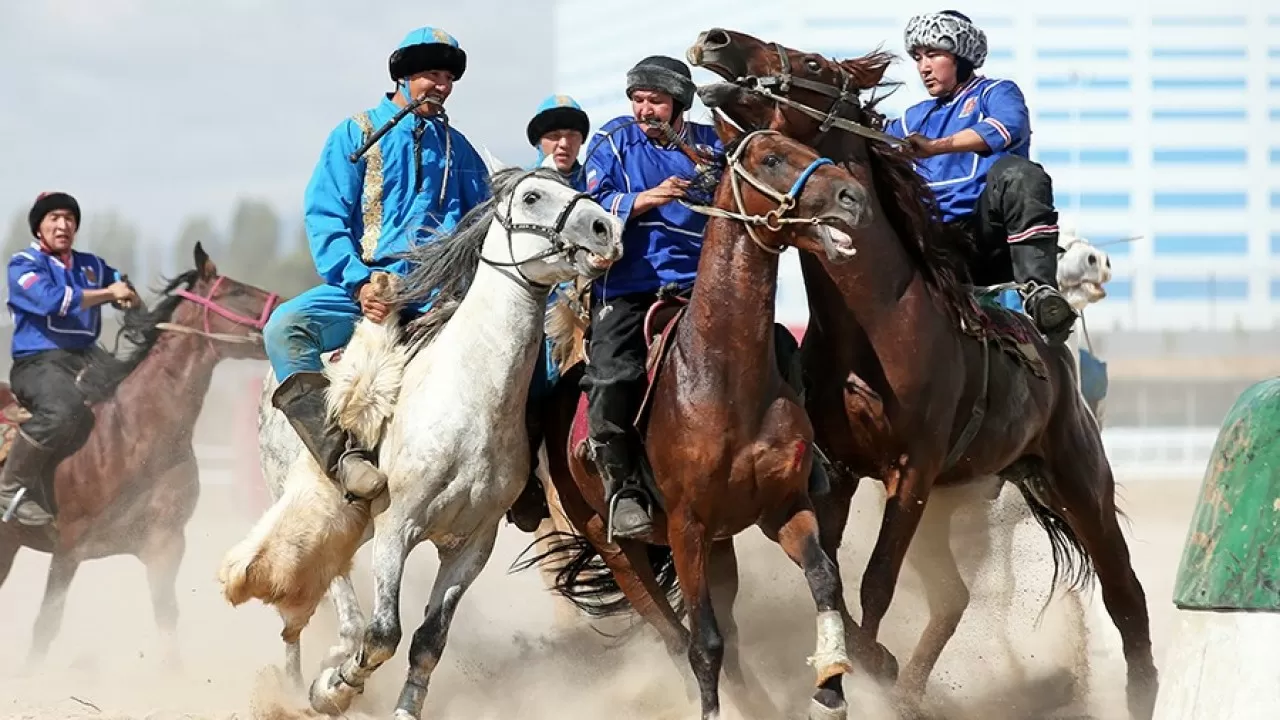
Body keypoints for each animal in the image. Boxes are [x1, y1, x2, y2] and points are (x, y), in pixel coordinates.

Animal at [0, 242, 279, 666]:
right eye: (235, 291)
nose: (287, 308)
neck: (131, 434)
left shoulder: (165, 545)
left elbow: (167, 621)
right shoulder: (68, 549)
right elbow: (45, 627)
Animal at [217, 165, 622, 712]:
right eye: (533, 196)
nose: (606, 228)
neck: (469, 400)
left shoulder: (472, 544)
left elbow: (429, 640)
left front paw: (404, 707)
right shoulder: (397, 527)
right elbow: (383, 633)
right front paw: (335, 687)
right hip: (315, 504)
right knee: (327, 590)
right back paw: (306, 680)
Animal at [532, 119, 880, 717]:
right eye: (770, 159)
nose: (852, 197)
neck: (723, 378)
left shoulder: (783, 506)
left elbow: (823, 580)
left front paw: (831, 685)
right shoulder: (686, 528)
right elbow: (703, 645)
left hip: (719, 546)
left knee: (729, 636)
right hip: (619, 549)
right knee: (675, 636)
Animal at [691, 29, 1162, 717]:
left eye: (811, 62)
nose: (714, 40)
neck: (878, 323)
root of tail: (1055, 357)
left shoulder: (909, 470)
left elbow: (876, 582)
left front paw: (874, 665)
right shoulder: (841, 471)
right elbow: (831, 578)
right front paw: (867, 669)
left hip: (1079, 479)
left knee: (1127, 597)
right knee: (953, 596)